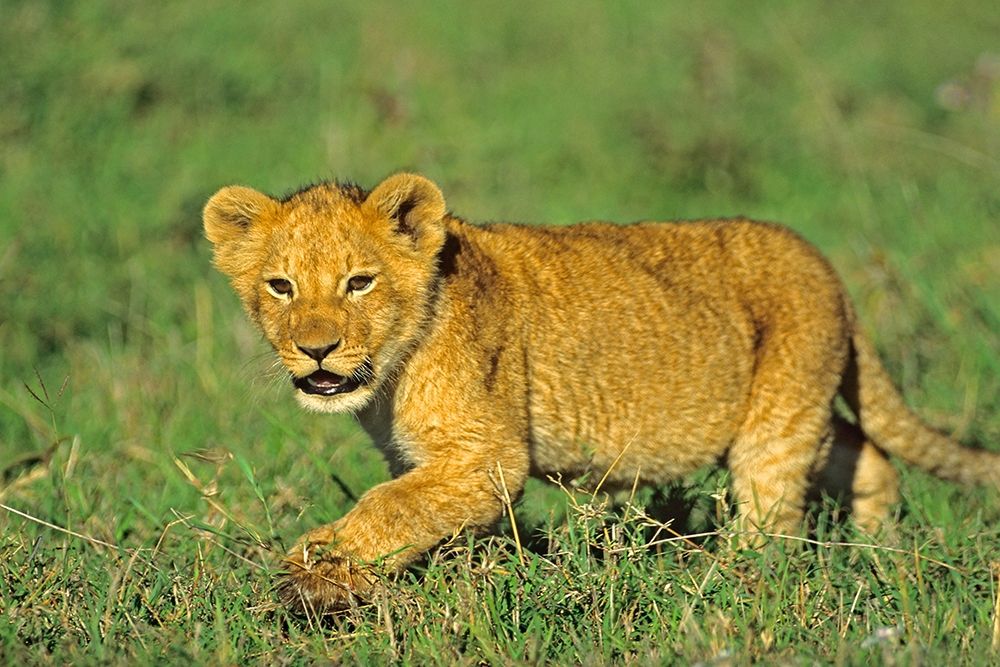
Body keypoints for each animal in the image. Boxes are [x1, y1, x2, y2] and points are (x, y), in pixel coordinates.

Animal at [203, 172, 998, 615]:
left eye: (359, 282)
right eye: (282, 286)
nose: (316, 348)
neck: (393, 369)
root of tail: (828, 269)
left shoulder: (487, 458)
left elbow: (386, 510)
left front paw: (311, 574)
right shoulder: (431, 462)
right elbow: (421, 516)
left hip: (777, 422)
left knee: (772, 521)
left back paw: (728, 584)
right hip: (795, 413)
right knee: (867, 456)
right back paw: (881, 549)